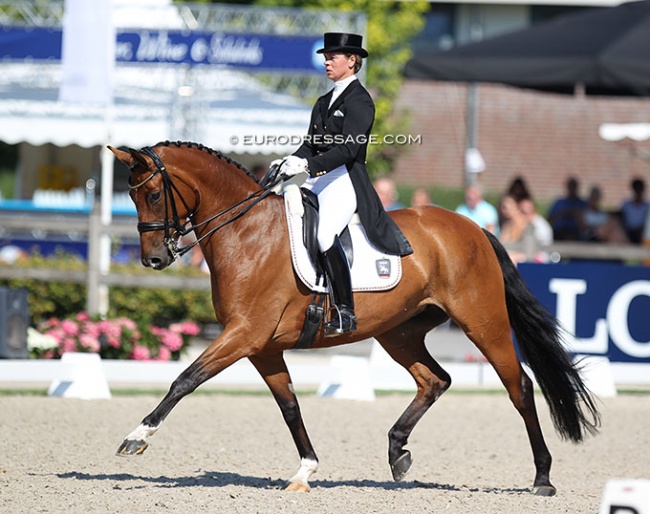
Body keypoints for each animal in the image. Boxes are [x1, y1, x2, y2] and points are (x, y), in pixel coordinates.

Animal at [107, 142, 596, 494]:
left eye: (153, 194)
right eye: (131, 195)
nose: (153, 259)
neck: (247, 234)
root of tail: (472, 227)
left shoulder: (244, 333)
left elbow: (185, 379)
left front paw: (137, 437)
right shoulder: (262, 347)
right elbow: (289, 406)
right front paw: (305, 471)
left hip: (484, 324)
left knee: (520, 388)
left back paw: (542, 478)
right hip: (400, 333)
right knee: (435, 380)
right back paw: (398, 453)